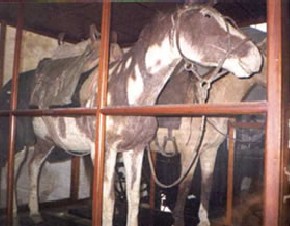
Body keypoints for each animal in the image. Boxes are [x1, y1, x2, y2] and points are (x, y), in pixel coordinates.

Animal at [11, 3, 260, 226]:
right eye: (207, 16)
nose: (255, 57)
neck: (127, 93)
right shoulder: (108, 150)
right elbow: (109, 201)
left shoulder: (136, 150)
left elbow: (133, 199)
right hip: (28, 143)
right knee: (21, 168)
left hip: (47, 143)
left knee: (33, 166)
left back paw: (35, 212)